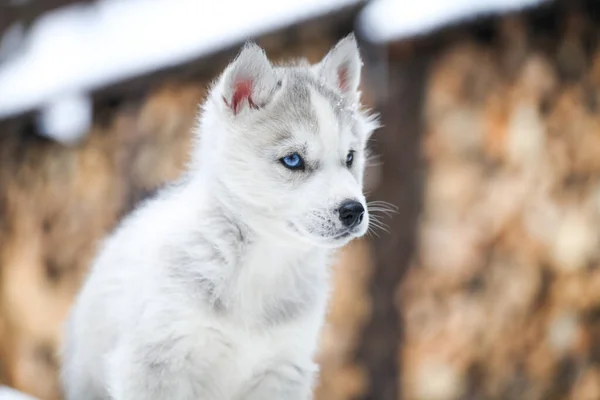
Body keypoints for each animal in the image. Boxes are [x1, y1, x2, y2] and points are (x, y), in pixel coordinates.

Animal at [61, 33, 380, 400]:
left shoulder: (282, 367)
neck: (265, 261)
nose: (353, 211)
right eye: (293, 160)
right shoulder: (156, 359)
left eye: (350, 157)